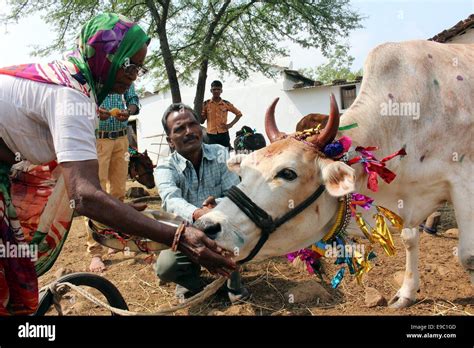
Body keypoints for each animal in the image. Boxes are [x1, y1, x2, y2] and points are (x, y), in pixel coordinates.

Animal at [194, 40, 472, 308]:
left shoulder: (462, 183)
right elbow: (409, 238)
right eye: (243, 174)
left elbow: (466, 256)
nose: (207, 226)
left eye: (288, 173)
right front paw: (406, 293)